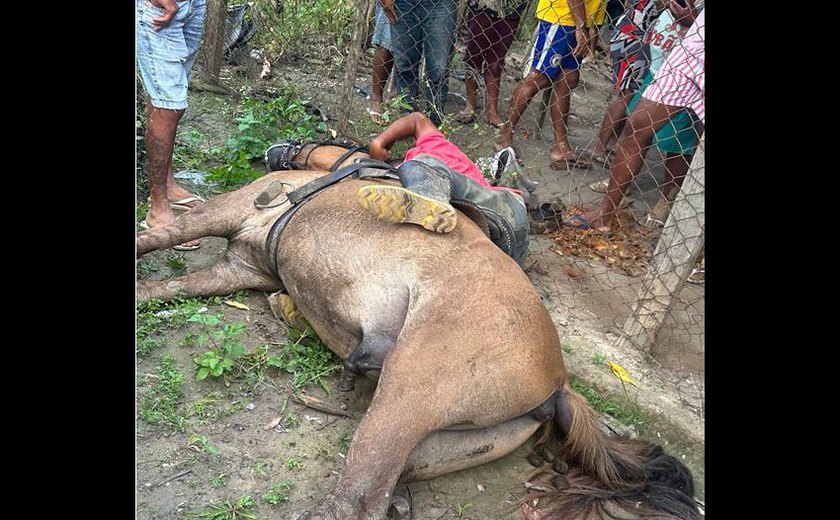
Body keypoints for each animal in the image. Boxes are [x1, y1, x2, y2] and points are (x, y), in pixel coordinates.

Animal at [138, 142, 704, 520]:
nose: (277, 152)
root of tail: (559, 383)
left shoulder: (218, 215)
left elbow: (154, 237)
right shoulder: (234, 269)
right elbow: (159, 287)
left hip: (404, 400)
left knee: (357, 500)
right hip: (432, 442)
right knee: (386, 486)